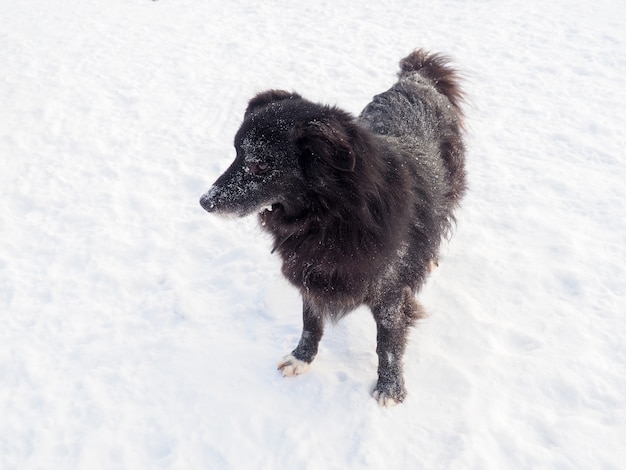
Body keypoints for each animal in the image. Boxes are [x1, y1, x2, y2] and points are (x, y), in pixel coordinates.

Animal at [200, 49, 464, 406]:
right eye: (236, 154)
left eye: (259, 165)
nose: (204, 201)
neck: (333, 217)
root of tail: (417, 78)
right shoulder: (312, 271)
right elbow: (310, 322)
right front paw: (301, 358)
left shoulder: (390, 292)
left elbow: (388, 343)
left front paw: (390, 388)